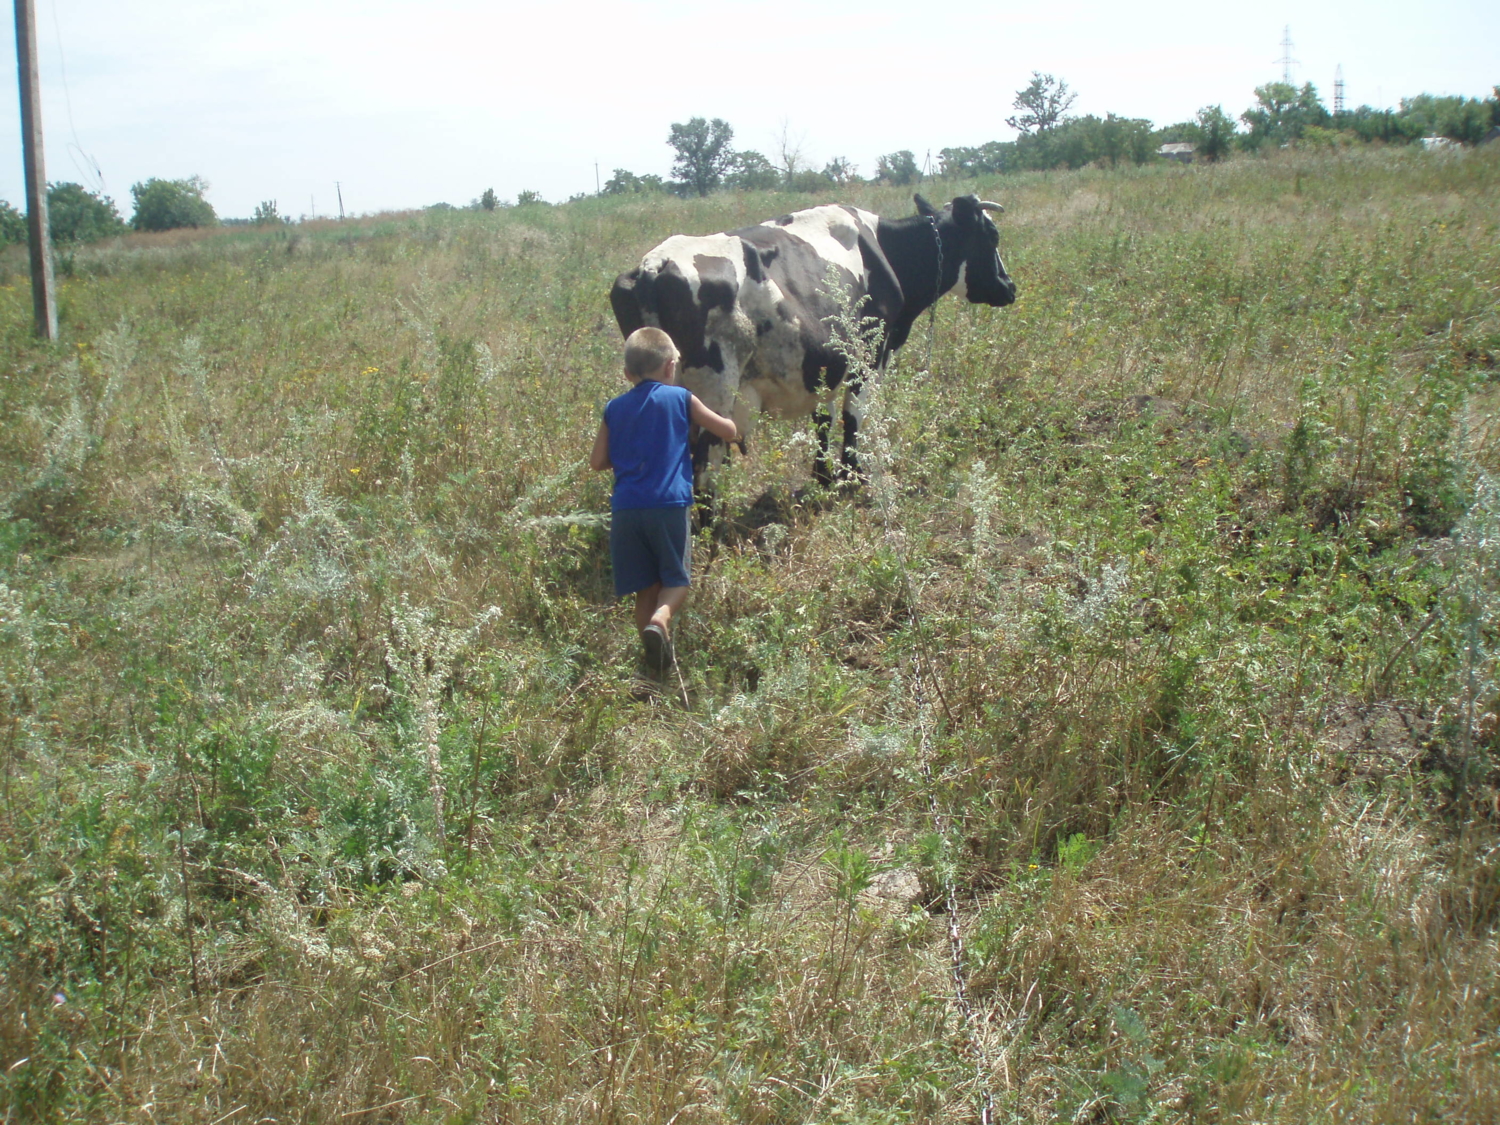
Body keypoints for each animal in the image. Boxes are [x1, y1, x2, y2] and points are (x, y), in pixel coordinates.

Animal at [612, 196, 1020, 486]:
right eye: (993, 237)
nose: (1009, 287)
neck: (883, 250)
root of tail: (653, 266)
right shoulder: (868, 358)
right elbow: (853, 418)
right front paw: (852, 477)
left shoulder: (822, 363)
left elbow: (823, 418)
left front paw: (823, 477)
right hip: (715, 392)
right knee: (704, 468)